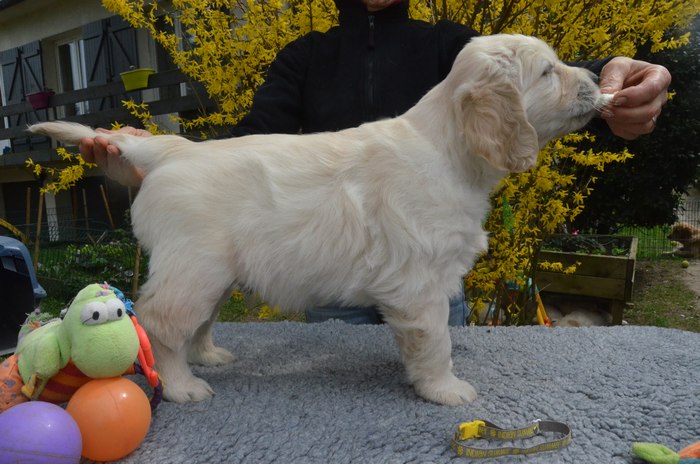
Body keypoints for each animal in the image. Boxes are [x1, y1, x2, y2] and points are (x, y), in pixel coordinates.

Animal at [29, 34, 610, 406]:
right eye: (548, 72)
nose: (596, 77)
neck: (450, 148)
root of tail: (172, 151)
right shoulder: (419, 282)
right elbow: (435, 341)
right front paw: (444, 390)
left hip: (213, 271)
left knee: (197, 321)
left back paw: (209, 356)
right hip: (194, 266)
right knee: (161, 323)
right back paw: (180, 385)